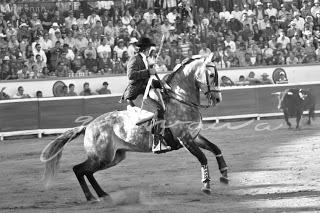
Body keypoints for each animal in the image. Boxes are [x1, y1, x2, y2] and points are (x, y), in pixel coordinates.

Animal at [40, 53, 230, 201]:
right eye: (211, 74)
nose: (218, 98)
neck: (181, 100)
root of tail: (89, 126)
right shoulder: (185, 139)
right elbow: (203, 158)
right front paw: (206, 186)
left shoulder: (194, 136)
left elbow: (215, 148)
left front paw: (224, 175)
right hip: (103, 157)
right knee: (79, 170)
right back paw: (91, 196)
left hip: (114, 157)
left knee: (87, 172)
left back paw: (101, 195)